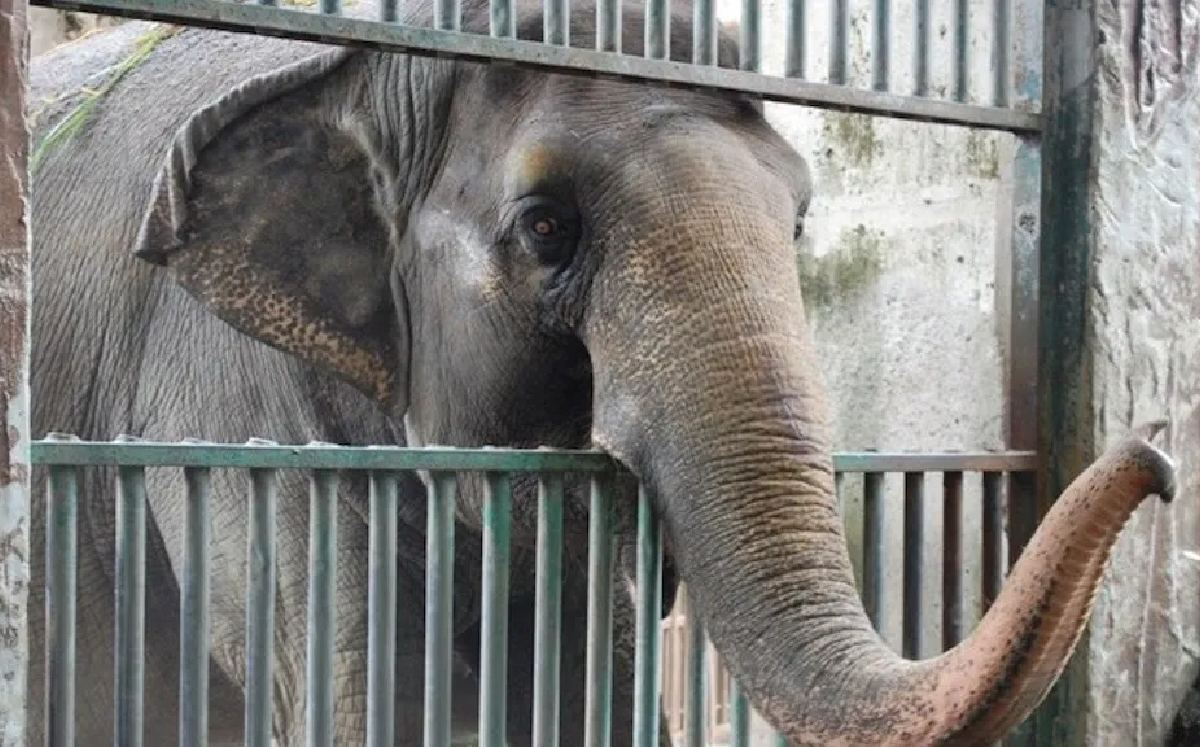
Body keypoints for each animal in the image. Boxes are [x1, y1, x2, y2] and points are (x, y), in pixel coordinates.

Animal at [27, 0, 1175, 745]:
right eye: (547, 227)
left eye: (800, 221)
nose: (1157, 457)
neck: (375, 63)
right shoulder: (230, 416)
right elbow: (371, 695)